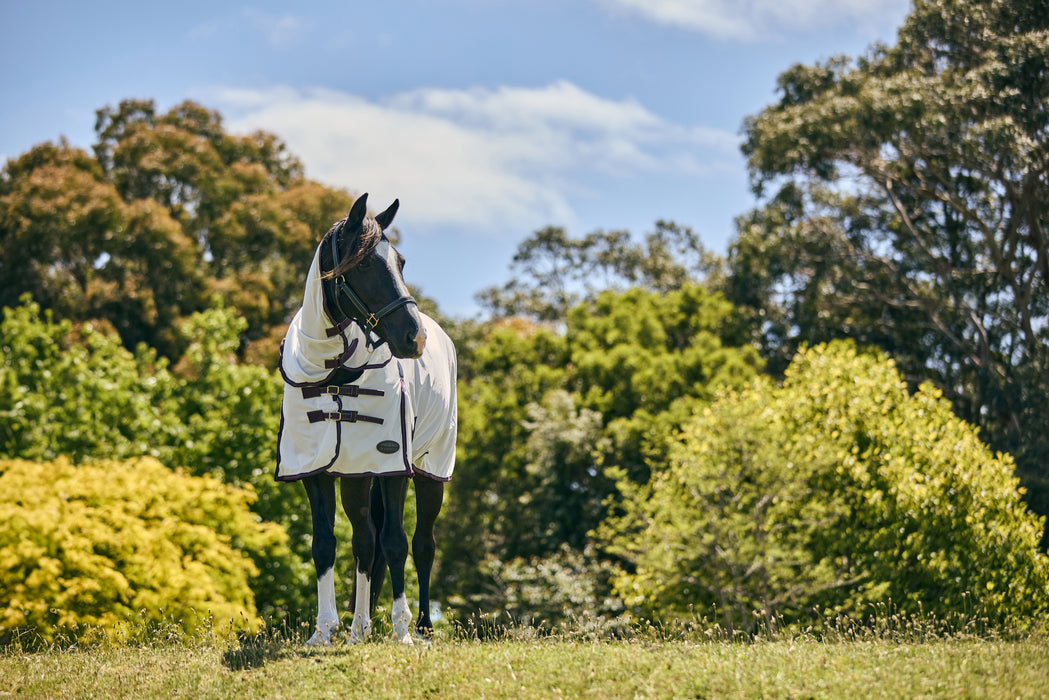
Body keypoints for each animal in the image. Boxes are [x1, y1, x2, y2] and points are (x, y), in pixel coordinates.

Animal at [276, 193, 457, 646]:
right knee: (364, 541)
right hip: (356, 477)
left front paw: (402, 630)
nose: (414, 337)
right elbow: (325, 543)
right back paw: (359, 628)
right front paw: (324, 630)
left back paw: (423, 627)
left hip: (430, 471)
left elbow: (397, 543)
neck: (335, 374)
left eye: (401, 262)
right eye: (362, 266)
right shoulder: (316, 471)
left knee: (421, 543)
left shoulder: (393, 467)